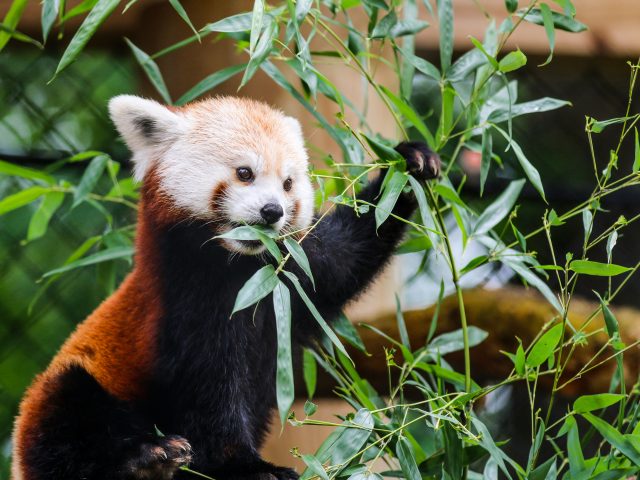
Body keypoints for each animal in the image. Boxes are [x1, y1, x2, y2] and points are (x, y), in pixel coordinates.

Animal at [11, 95, 440, 480]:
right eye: (245, 173)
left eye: (288, 184)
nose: (272, 211)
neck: (241, 271)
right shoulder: (184, 298)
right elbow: (212, 395)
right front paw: (246, 467)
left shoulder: (293, 278)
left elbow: (348, 254)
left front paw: (409, 167)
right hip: (66, 394)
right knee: (71, 417)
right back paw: (146, 458)